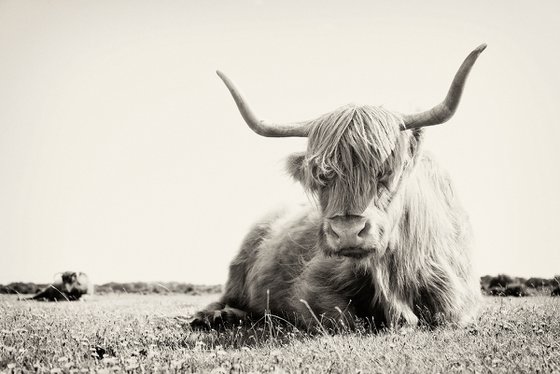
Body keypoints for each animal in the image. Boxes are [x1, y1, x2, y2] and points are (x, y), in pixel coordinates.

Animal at [191, 44, 486, 330]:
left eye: (385, 172)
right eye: (321, 176)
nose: (347, 231)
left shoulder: (457, 299)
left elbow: (444, 316)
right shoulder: (313, 284)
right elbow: (344, 318)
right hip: (238, 272)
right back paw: (213, 316)